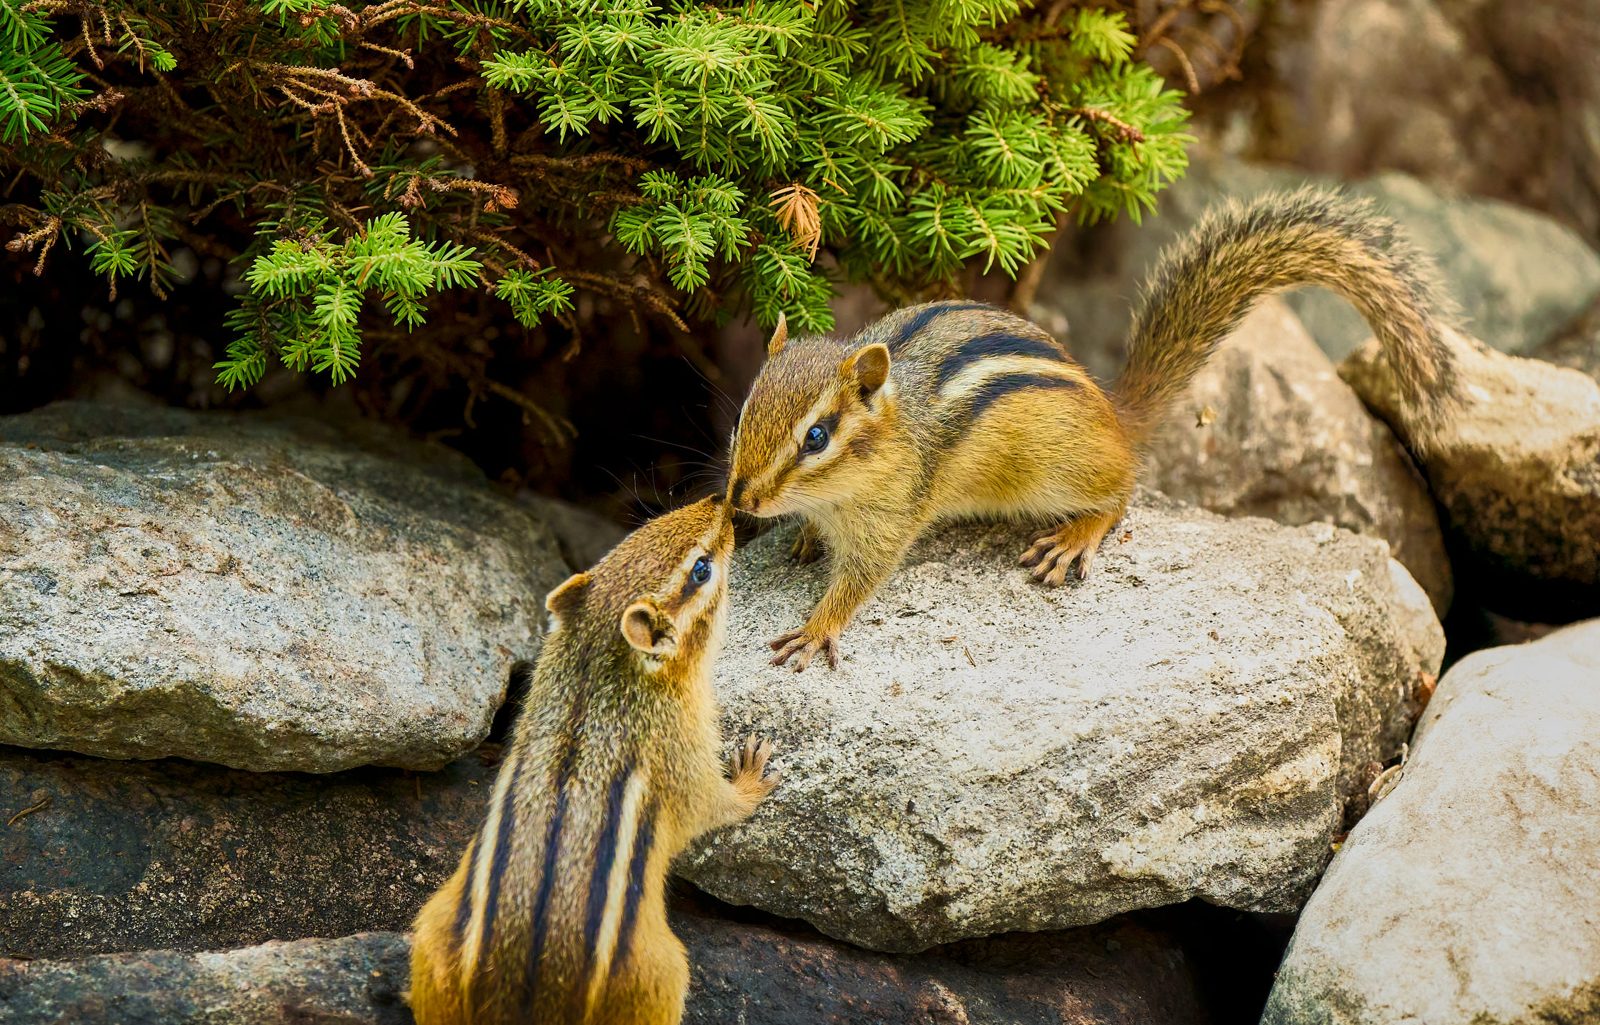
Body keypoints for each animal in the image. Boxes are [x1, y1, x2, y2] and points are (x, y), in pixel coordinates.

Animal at [409, 495, 779, 1025]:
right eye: (701, 569)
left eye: (632, 534)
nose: (720, 502)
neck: (591, 669)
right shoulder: (683, 754)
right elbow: (717, 805)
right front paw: (752, 774)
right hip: (661, 973)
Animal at [725, 187, 1460, 670]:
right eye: (742, 416)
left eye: (816, 438)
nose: (739, 503)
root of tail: (1114, 413)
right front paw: (804, 538)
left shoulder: (891, 516)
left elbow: (861, 579)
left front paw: (817, 627)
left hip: (1056, 471)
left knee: (1123, 488)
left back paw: (1077, 535)